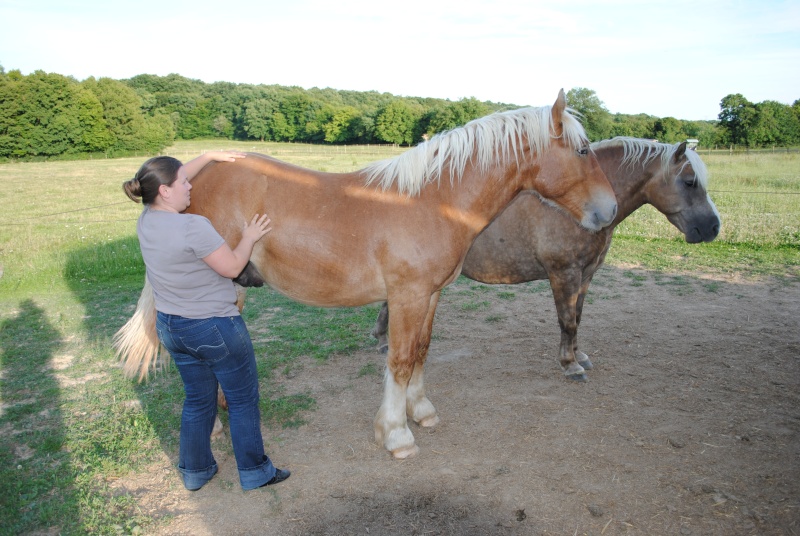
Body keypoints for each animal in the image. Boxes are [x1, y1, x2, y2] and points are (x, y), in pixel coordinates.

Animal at [112, 90, 616, 458]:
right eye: (583, 149)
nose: (608, 211)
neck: (431, 200)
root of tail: (196, 180)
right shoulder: (407, 296)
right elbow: (399, 360)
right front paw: (395, 434)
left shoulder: (430, 295)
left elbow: (421, 352)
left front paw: (422, 412)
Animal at [372, 138, 720, 382]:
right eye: (689, 182)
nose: (713, 227)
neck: (576, 209)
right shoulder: (564, 273)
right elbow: (567, 320)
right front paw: (570, 365)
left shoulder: (586, 274)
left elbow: (578, 317)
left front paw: (580, 356)